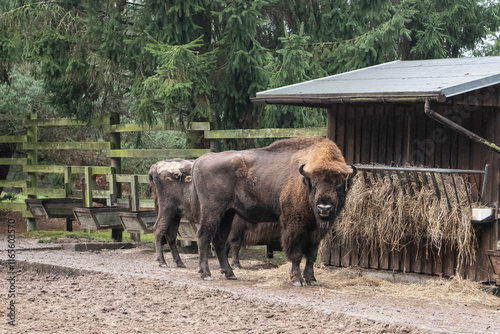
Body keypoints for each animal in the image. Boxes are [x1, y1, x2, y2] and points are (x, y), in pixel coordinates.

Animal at [191, 137, 356, 286]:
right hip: (212, 211)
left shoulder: (316, 231)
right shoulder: (294, 225)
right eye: (314, 184)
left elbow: (311, 255)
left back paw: (230, 274)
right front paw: (297, 280)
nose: (324, 208)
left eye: (339, 185)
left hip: (227, 213)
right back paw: (206, 274)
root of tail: (201, 159)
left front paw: (311, 280)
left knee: (219, 240)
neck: (304, 181)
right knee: (204, 237)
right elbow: (296, 254)